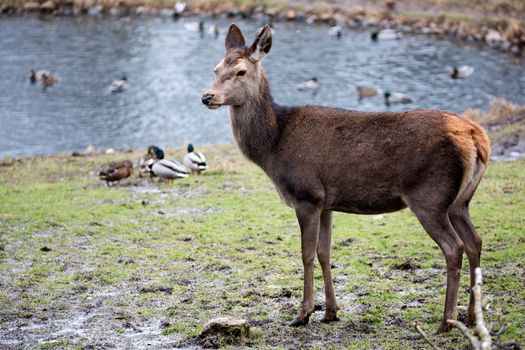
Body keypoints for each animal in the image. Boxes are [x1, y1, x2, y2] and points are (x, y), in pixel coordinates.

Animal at [202, 23, 492, 330]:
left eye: (241, 71)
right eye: (215, 68)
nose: (207, 97)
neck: (273, 146)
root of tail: (477, 137)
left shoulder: (306, 195)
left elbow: (306, 254)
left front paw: (303, 313)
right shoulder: (326, 202)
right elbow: (324, 253)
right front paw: (331, 311)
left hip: (430, 197)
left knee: (454, 247)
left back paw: (446, 322)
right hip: (460, 201)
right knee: (475, 242)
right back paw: (472, 317)